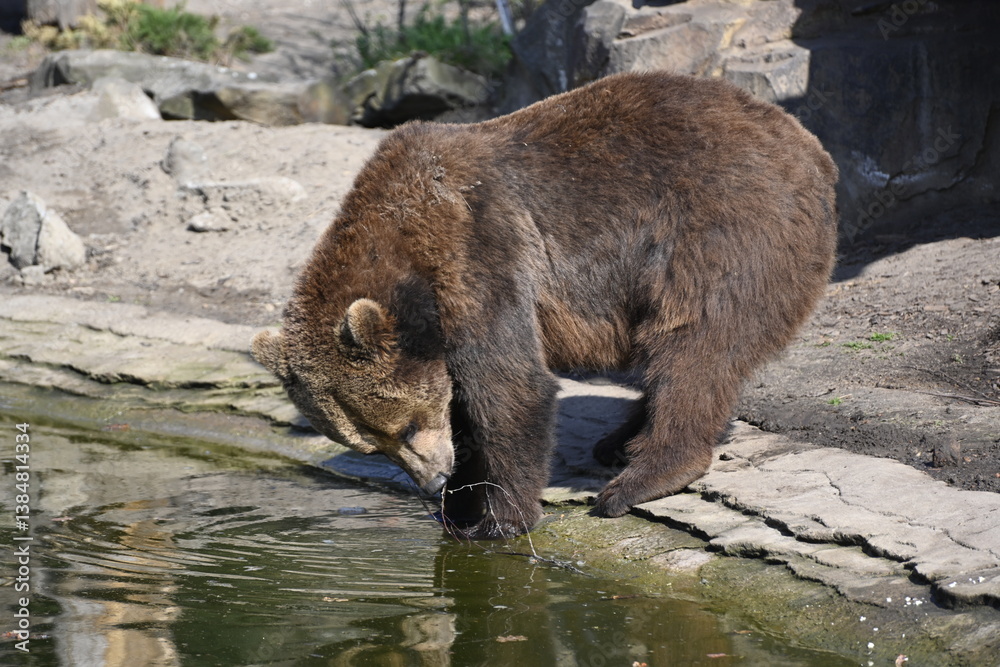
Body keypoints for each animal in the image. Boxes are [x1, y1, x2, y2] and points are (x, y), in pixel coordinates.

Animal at [251, 71, 839, 540]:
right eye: (373, 445)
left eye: (405, 428)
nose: (432, 478)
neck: (403, 247)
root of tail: (810, 146)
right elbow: (466, 404)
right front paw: (459, 504)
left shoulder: (481, 252)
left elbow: (510, 390)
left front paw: (498, 519)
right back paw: (619, 441)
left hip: (722, 226)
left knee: (694, 344)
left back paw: (638, 478)